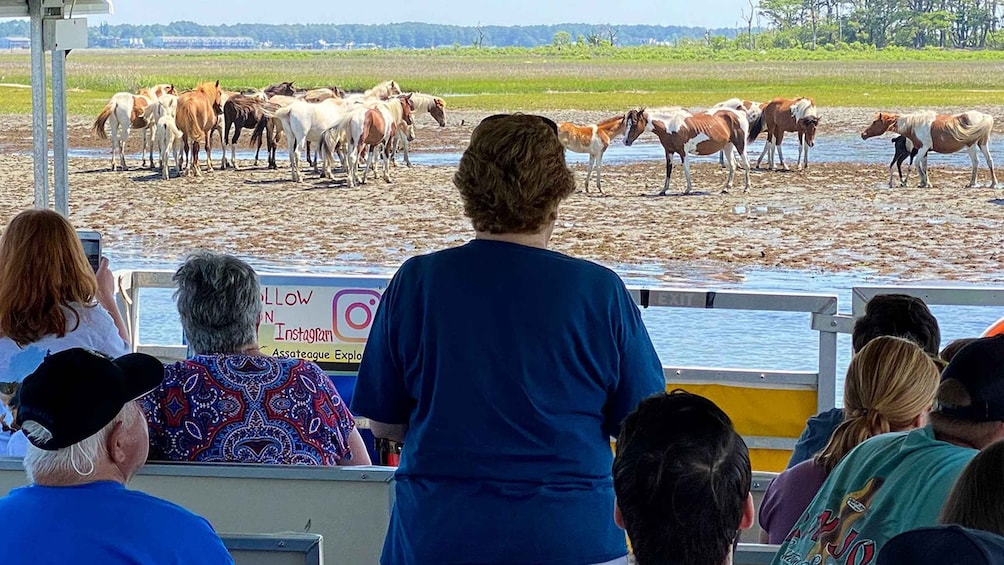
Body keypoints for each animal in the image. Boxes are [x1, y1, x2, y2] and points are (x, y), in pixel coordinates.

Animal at [622, 108, 750, 196]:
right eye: (626, 124)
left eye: (634, 123)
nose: (625, 141)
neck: (670, 125)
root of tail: (740, 114)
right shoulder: (669, 152)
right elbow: (668, 170)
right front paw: (664, 190)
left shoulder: (683, 152)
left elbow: (686, 169)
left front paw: (688, 189)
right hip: (728, 146)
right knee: (733, 166)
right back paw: (726, 188)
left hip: (740, 145)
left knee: (746, 165)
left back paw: (747, 188)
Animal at [863, 109, 995, 188]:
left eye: (874, 122)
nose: (863, 134)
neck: (914, 125)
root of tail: (983, 116)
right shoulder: (924, 150)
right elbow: (924, 166)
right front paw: (926, 182)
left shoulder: (923, 148)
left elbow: (917, 164)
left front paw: (923, 182)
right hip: (982, 144)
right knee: (989, 161)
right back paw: (993, 183)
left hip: (971, 145)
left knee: (976, 162)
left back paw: (972, 183)